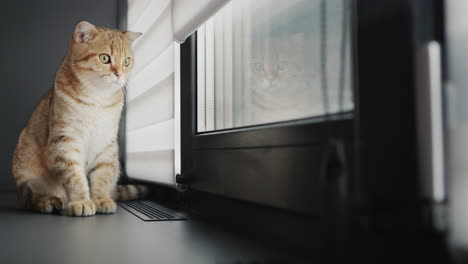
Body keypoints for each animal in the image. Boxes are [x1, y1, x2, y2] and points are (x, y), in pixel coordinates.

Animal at [11, 21, 146, 217]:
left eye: (126, 61)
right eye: (104, 58)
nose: (119, 74)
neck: (98, 98)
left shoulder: (106, 144)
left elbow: (102, 176)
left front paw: (101, 199)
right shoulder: (64, 140)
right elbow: (74, 177)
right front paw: (81, 201)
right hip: (26, 171)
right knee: (30, 198)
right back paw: (48, 201)